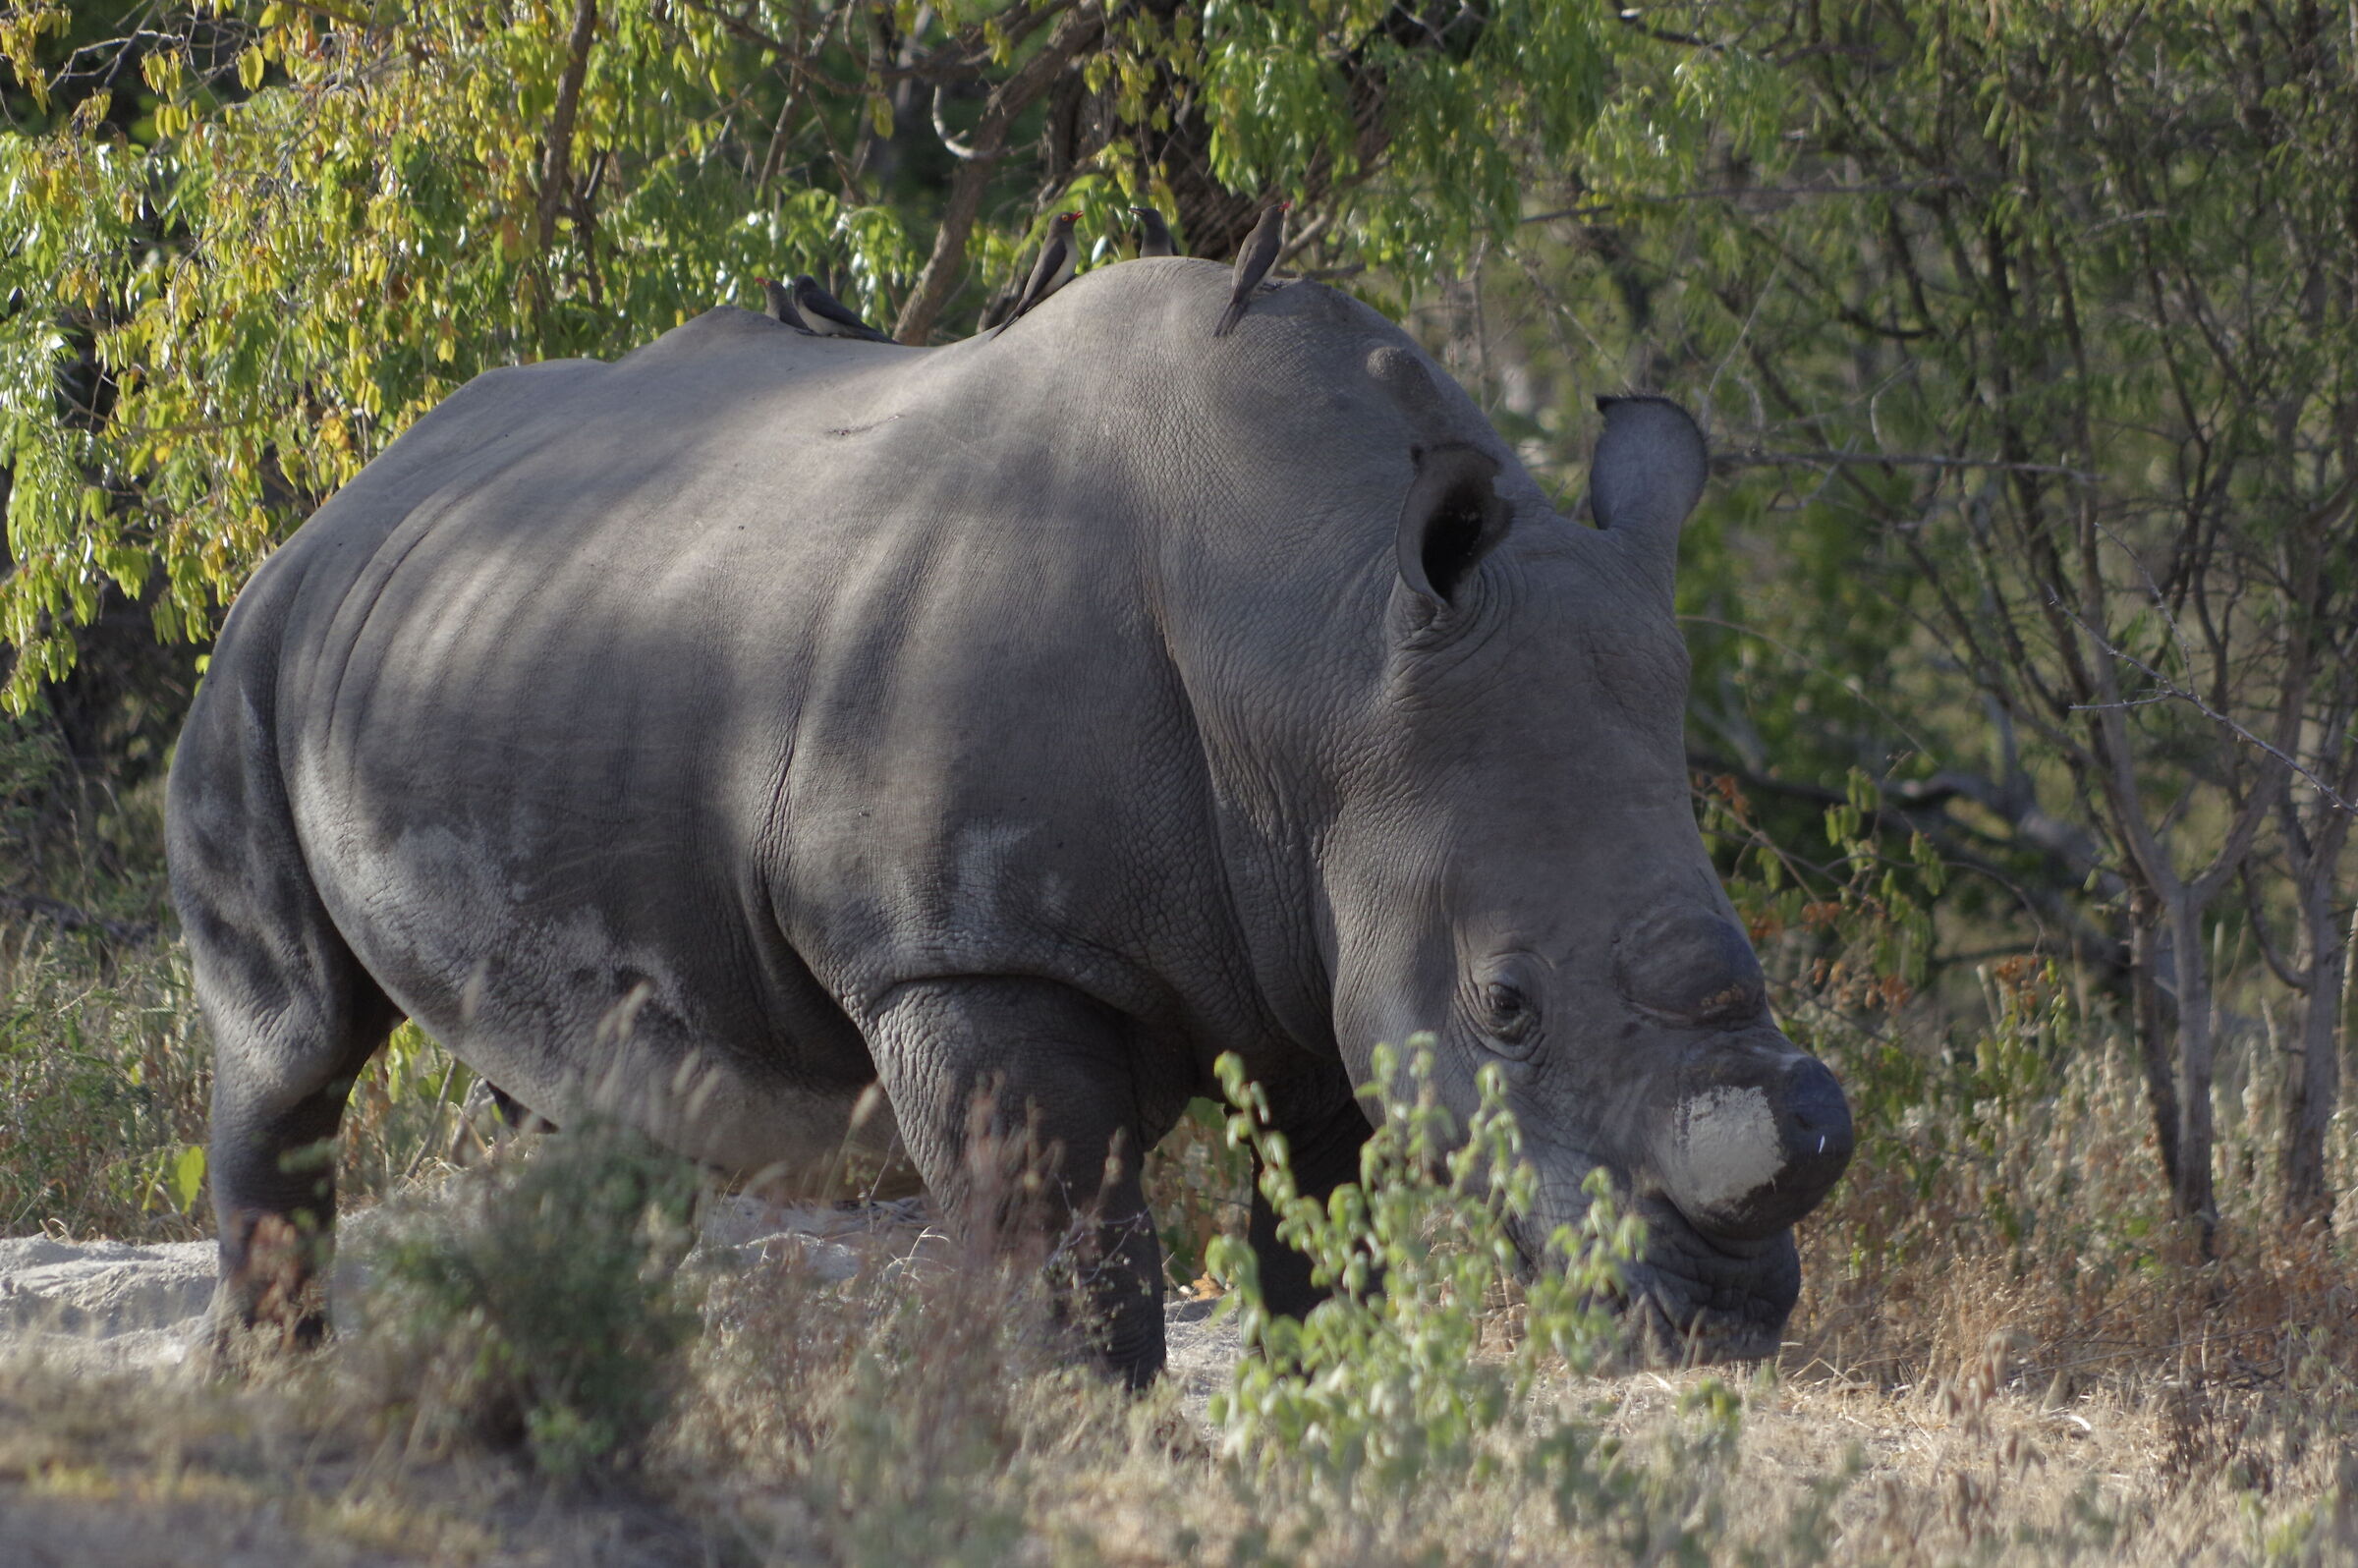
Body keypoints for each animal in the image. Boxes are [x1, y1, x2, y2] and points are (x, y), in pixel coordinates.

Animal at [167, 259, 1852, 1383]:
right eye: (1510, 1006)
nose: (1725, 1318)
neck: (1309, 642)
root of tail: (344, 496)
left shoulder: (1324, 940)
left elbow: (1323, 1228)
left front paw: (1321, 1404)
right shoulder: (965, 949)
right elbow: (1069, 1243)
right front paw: (1076, 1429)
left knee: (590, 1091)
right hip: (255, 653)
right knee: (295, 1042)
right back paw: (276, 1386)